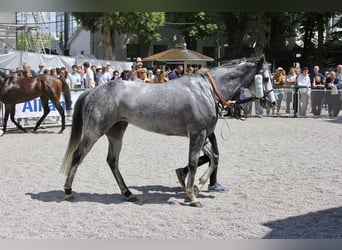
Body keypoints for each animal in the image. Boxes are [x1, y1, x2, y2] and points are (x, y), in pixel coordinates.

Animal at [60, 56, 276, 207]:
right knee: (78, 156)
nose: (272, 102)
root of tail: (94, 91)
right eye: (265, 78)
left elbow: (213, 158)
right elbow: (193, 162)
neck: (205, 90)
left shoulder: (204, 135)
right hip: (94, 132)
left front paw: (198, 186)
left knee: (112, 161)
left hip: (116, 132)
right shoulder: (197, 134)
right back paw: (68, 191)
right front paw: (192, 196)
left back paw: (128, 193)